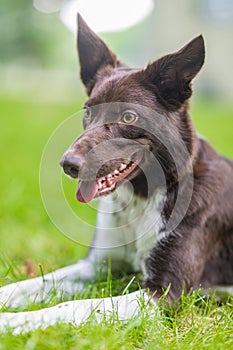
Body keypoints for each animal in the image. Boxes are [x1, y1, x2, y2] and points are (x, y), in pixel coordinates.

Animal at [0, 15, 233, 334]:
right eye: (87, 111)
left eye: (128, 117)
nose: (68, 165)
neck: (142, 198)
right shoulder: (96, 265)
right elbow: (34, 283)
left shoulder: (162, 294)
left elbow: (71, 307)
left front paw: (13, 322)